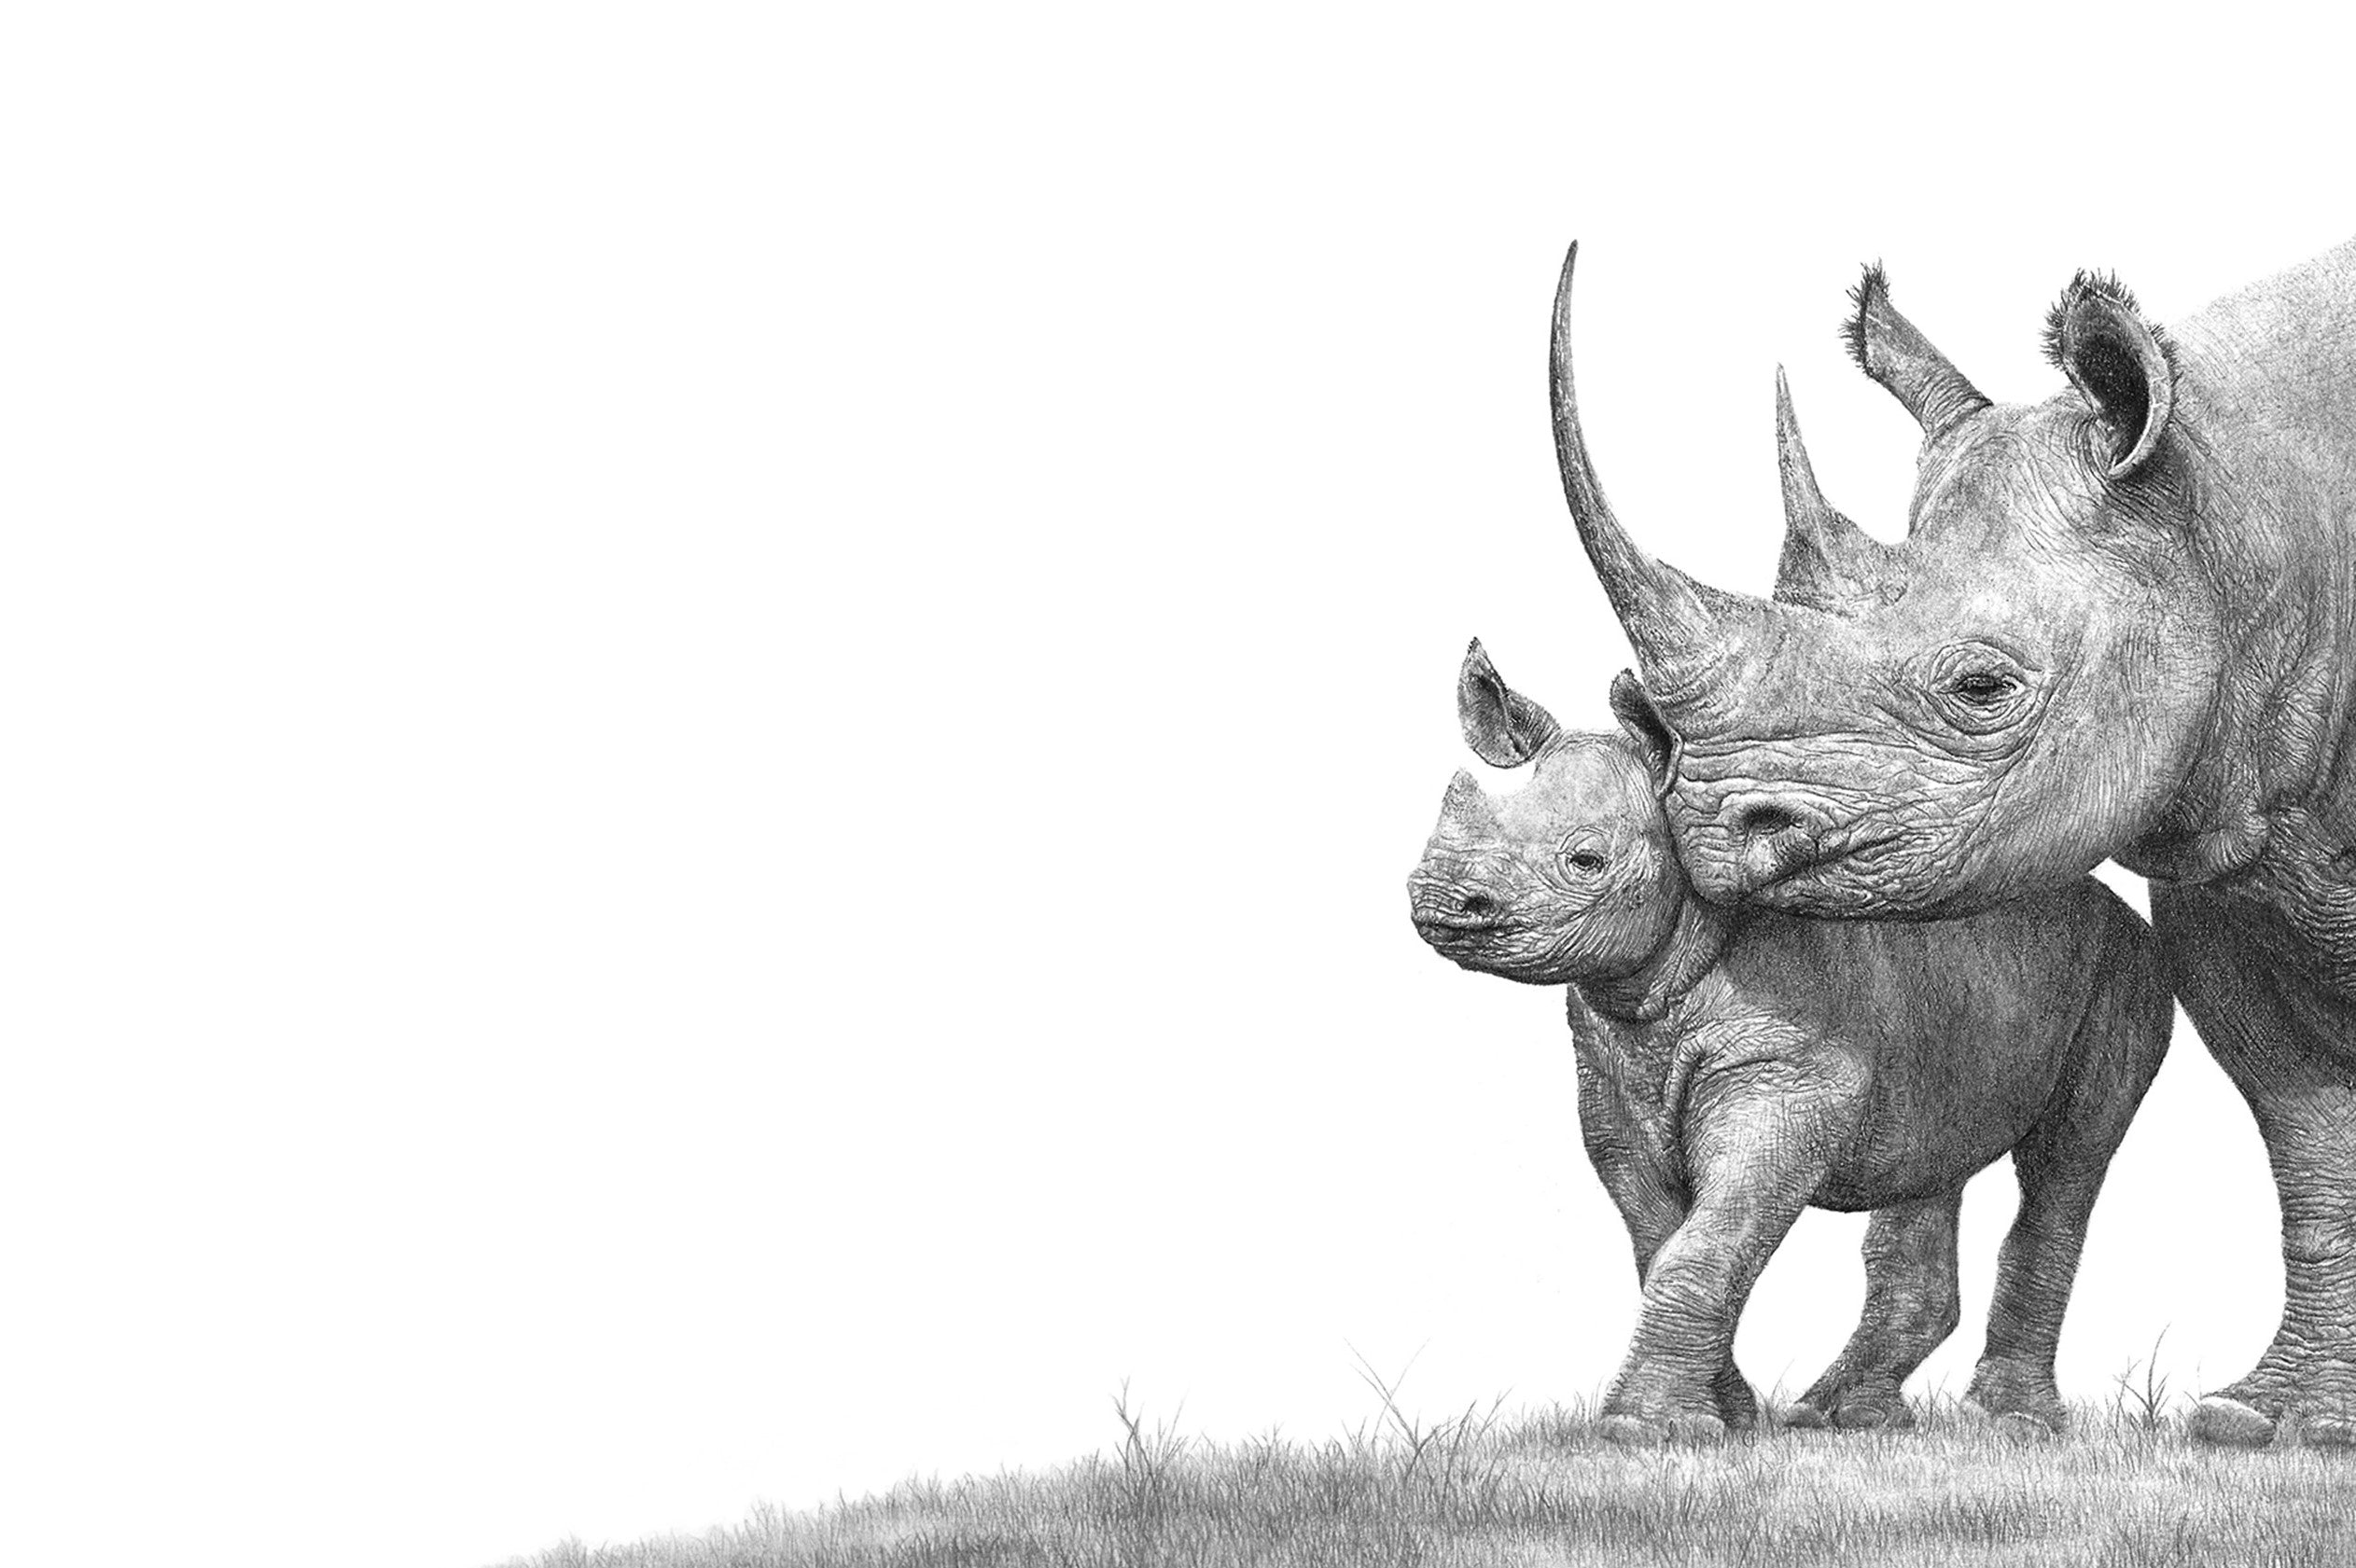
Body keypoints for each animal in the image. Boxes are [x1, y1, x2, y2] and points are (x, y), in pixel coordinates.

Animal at [1408, 640, 2170, 1443]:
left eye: (1586, 860)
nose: (1436, 897)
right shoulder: (1611, 1079)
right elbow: (1663, 1242)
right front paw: (1725, 1419)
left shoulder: (1784, 1072)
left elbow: (1707, 1240)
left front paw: (1639, 1430)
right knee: (1930, 1151)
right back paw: (1841, 1417)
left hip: (2124, 968)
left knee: (2068, 1155)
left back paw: (2009, 1423)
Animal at [1546, 236, 2356, 1446]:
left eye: (1981, 688)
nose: (1711, 823)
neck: (2240, 505)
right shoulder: (2226, 839)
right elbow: (2305, 1134)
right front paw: (2262, 1422)